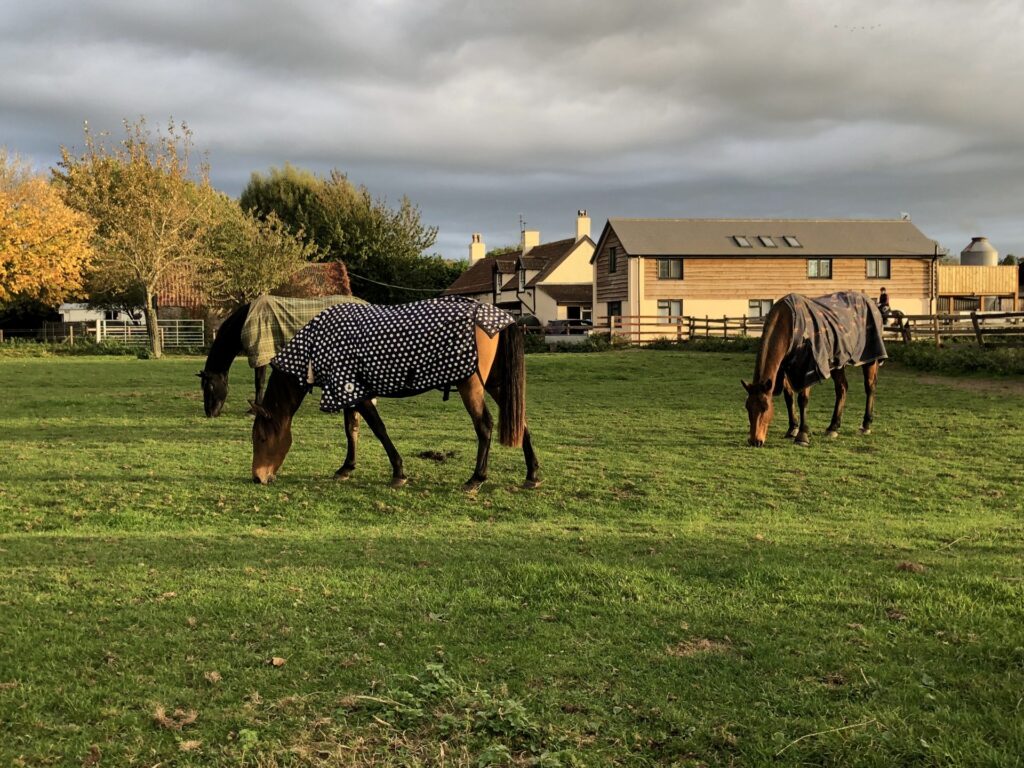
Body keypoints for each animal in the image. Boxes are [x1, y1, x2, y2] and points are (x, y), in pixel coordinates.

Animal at [197, 294, 362, 417]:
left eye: (210, 387)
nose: (210, 413)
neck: (248, 321)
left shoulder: (260, 355)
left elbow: (259, 383)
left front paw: (254, 410)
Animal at [248, 296, 540, 489]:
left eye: (260, 439)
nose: (257, 477)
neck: (315, 346)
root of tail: (500, 317)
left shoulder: (355, 392)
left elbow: (379, 430)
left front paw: (398, 472)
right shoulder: (349, 393)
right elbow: (352, 430)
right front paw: (346, 467)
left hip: (472, 386)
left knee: (485, 426)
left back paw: (476, 478)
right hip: (497, 384)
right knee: (520, 422)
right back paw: (532, 475)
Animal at [741, 292, 884, 448]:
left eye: (765, 408)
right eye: (747, 407)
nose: (755, 441)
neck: (789, 324)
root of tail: (871, 302)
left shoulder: (806, 368)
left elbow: (802, 400)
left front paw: (802, 435)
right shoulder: (785, 368)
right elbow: (789, 397)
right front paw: (792, 429)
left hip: (870, 359)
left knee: (870, 387)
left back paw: (865, 425)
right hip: (838, 362)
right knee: (842, 389)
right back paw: (833, 427)